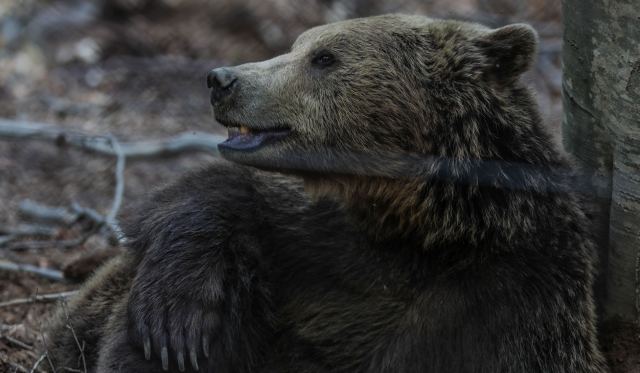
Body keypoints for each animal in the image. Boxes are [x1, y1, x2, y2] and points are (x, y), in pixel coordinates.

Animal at [47, 13, 608, 370]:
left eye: (325, 57)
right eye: (299, 45)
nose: (221, 78)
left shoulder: (506, 296)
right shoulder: (314, 243)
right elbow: (208, 201)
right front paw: (176, 322)